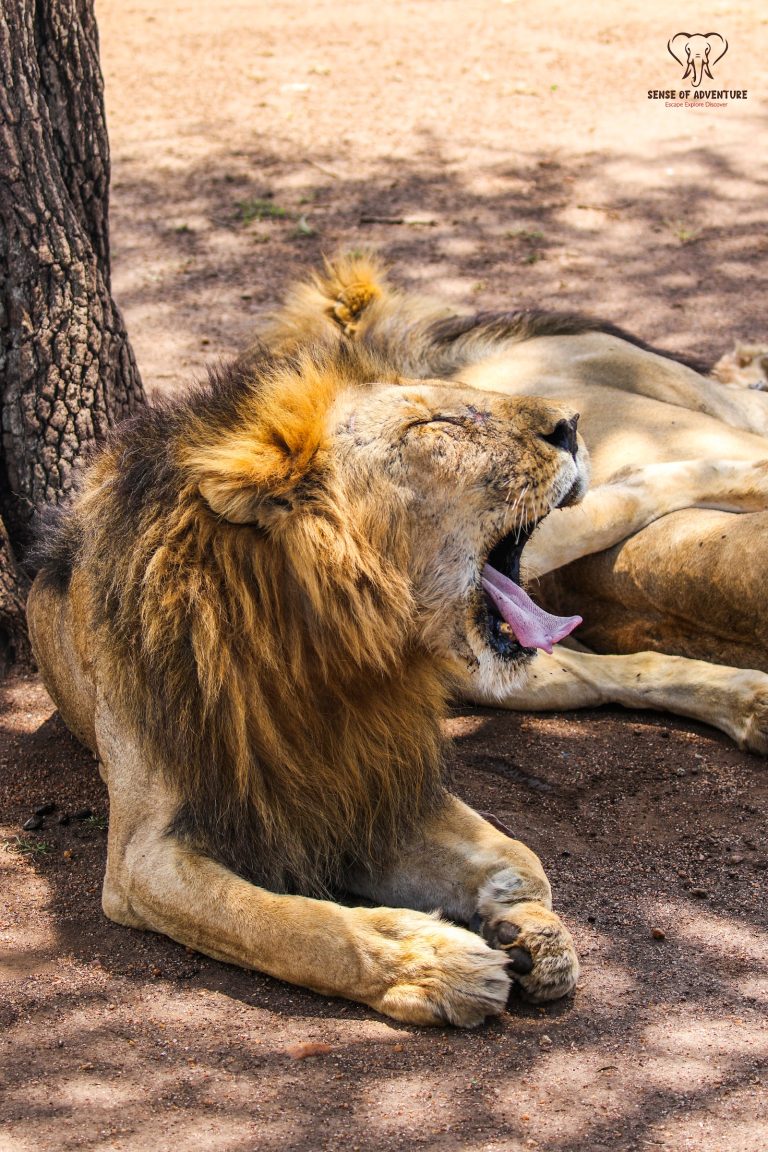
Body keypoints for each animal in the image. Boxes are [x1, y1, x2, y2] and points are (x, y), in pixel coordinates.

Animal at [27, 340, 596, 1027]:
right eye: (432, 425)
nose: (573, 425)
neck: (328, 654)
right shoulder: (144, 860)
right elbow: (298, 928)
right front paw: (430, 963)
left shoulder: (373, 781)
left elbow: (522, 858)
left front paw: (528, 929)